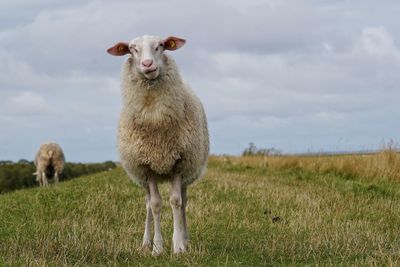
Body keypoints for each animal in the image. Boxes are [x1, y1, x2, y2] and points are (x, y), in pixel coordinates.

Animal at [108, 35, 211, 255]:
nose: (148, 64)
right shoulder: (147, 167)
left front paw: (179, 245)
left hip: (187, 172)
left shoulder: (179, 163)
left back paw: (185, 239)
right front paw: (157, 247)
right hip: (142, 178)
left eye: (161, 46)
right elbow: (155, 205)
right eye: (132, 49)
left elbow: (176, 202)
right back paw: (146, 242)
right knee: (148, 204)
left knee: (183, 201)